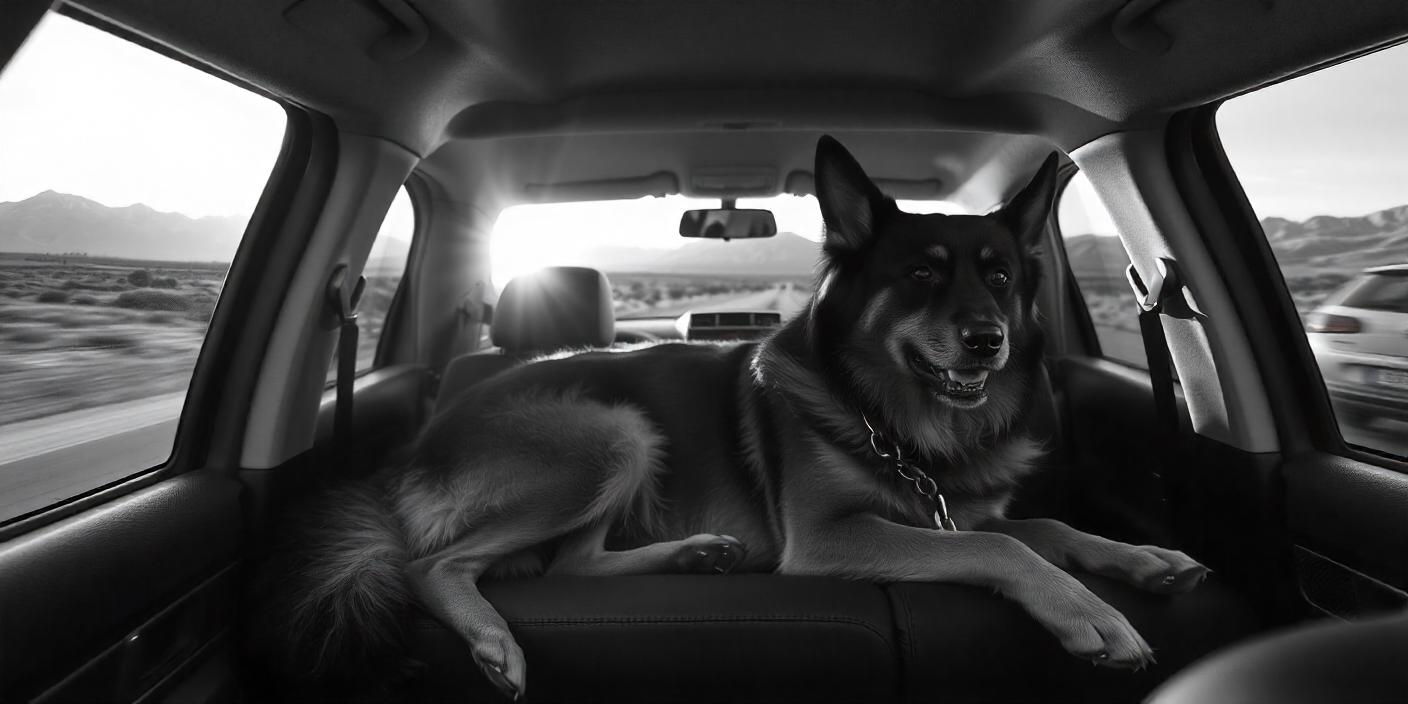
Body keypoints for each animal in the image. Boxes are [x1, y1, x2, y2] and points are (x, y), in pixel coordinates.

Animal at [261, 135, 1210, 698]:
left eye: (1002, 276)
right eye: (922, 276)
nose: (989, 342)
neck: (898, 424)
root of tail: (416, 449)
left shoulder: (953, 511)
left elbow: (1043, 526)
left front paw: (1143, 557)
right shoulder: (833, 539)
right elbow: (1003, 548)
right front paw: (1089, 611)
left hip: (617, 447)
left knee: (574, 563)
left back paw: (695, 555)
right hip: (608, 434)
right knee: (439, 565)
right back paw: (494, 638)